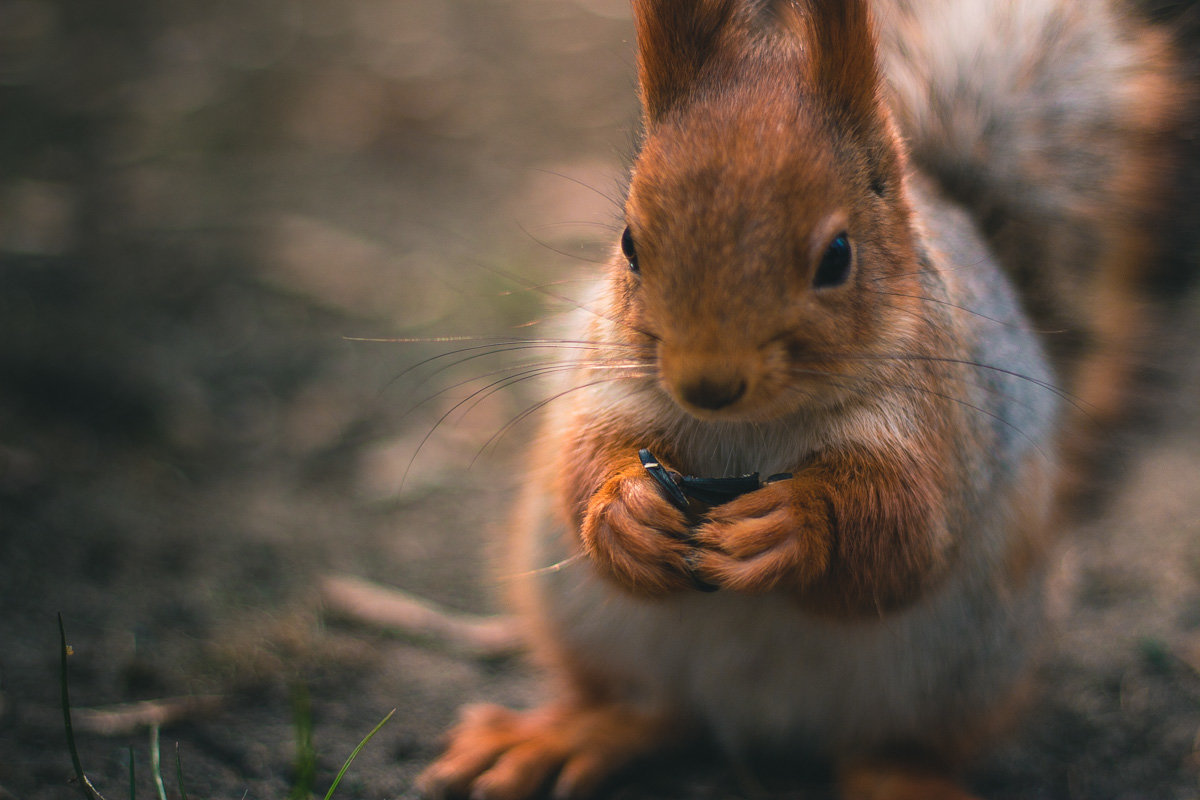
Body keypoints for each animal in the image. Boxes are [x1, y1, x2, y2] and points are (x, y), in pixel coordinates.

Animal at [417, 1, 1185, 800]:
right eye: (628, 242)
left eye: (837, 257)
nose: (707, 384)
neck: (752, 425)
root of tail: (758, 722)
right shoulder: (606, 385)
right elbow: (580, 467)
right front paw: (628, 511)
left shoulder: (944, 428)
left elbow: (907, 534)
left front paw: (790, 524)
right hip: (586, 621)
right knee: (646, 708)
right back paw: (560, 734)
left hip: (972, 664)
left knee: (893, 746)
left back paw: (905, 777)